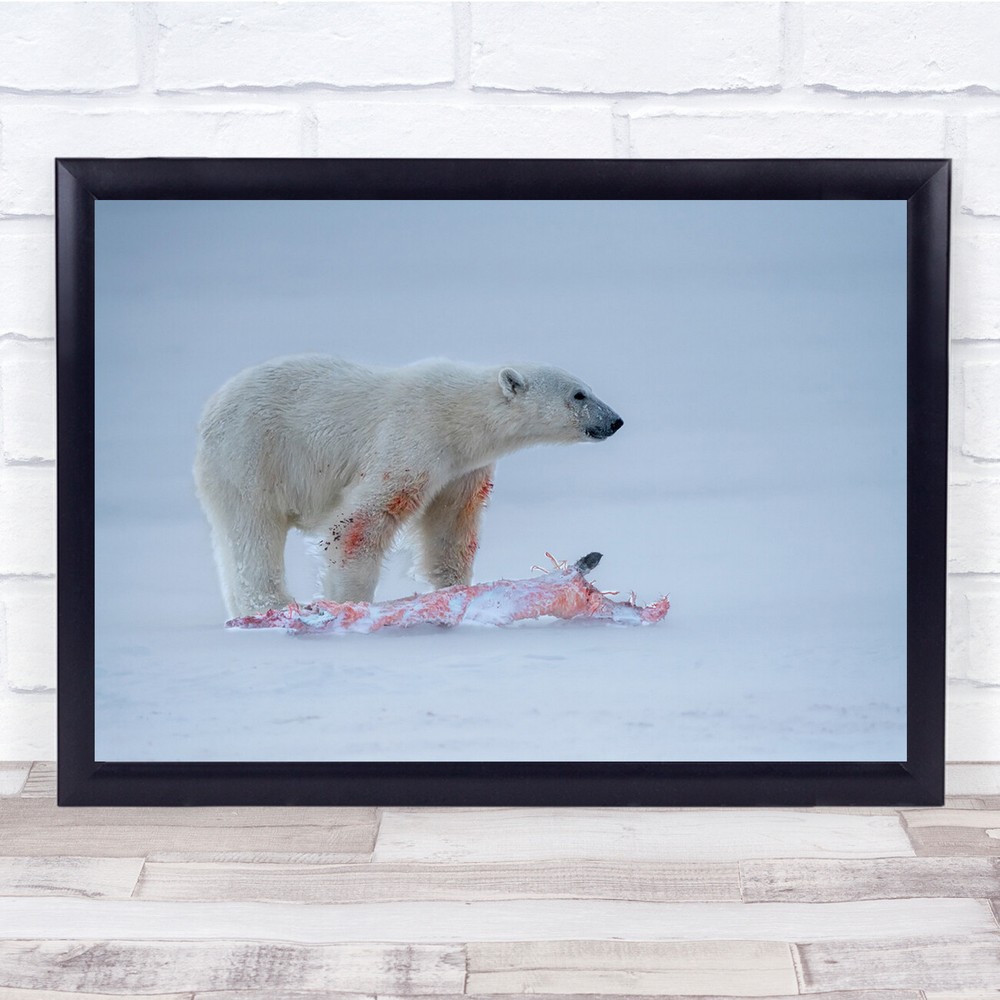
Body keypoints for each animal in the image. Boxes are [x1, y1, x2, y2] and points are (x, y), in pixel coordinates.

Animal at [193, 354, 623, 617]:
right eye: (579, 394)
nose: (615, 420)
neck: (458, 416)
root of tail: (210, 410)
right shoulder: (411, 436)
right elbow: (362, 522)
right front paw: (348, 601)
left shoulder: (461, 469)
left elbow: (450, 526)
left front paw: (455, 588)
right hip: (251, 454)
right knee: (253, 530)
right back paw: (272, 606)